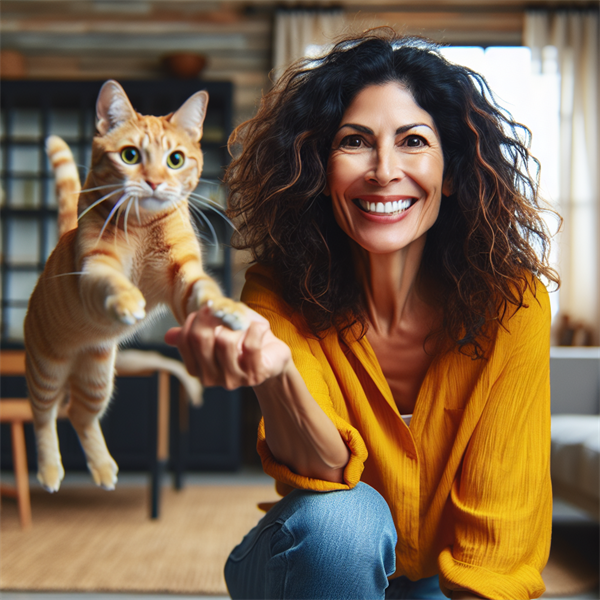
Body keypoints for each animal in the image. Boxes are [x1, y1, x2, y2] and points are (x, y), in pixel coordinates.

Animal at [24, 79, 248, 492]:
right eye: (130, 155)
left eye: (175, 159)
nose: (155, 182)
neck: (144, 228)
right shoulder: (94, 269)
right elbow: (111, 282)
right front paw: (128, 300)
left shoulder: (182, 279)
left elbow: (206, 292)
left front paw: (229, 310)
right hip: (46, 370)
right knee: (44, 416)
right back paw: (49, 471)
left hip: (97, 377)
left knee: (79, 414)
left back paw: (103, 469)